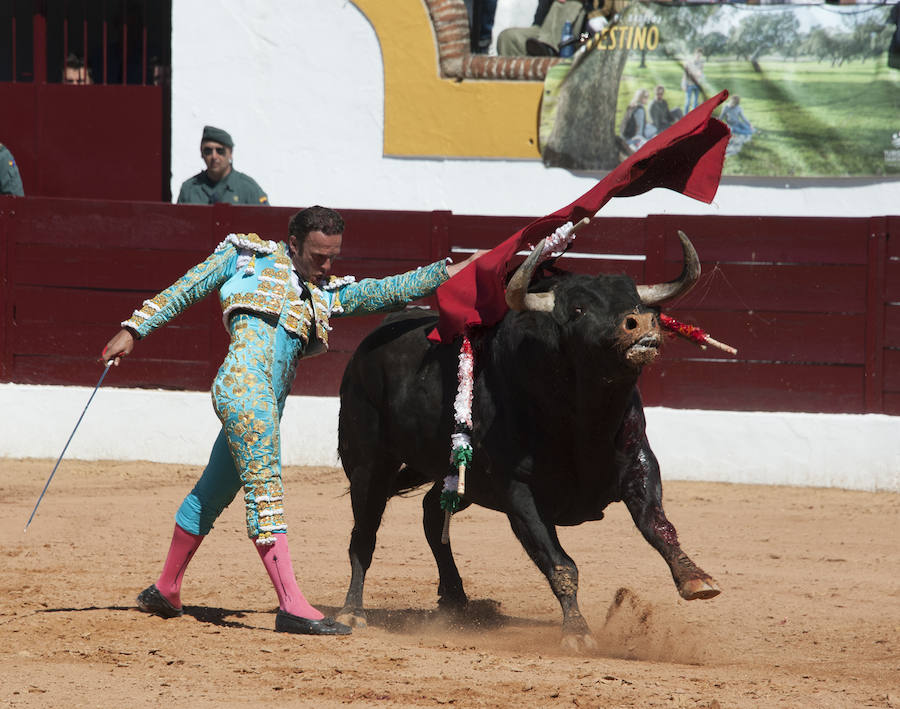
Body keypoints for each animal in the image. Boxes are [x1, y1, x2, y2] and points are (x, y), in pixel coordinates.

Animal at [334, 232, 720, 648]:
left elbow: (657, 524)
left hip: (459, 477)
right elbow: (560, 563)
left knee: (431, 513)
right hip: (369, 462)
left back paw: (455, 601)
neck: (584, 418)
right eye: (578, 309)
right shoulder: (517, 490)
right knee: (364, 534)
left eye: (637, 301)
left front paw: (695, 578)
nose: (640, 323)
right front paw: (577, 632)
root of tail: (368, 344)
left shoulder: (638, 463)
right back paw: (352, 612)